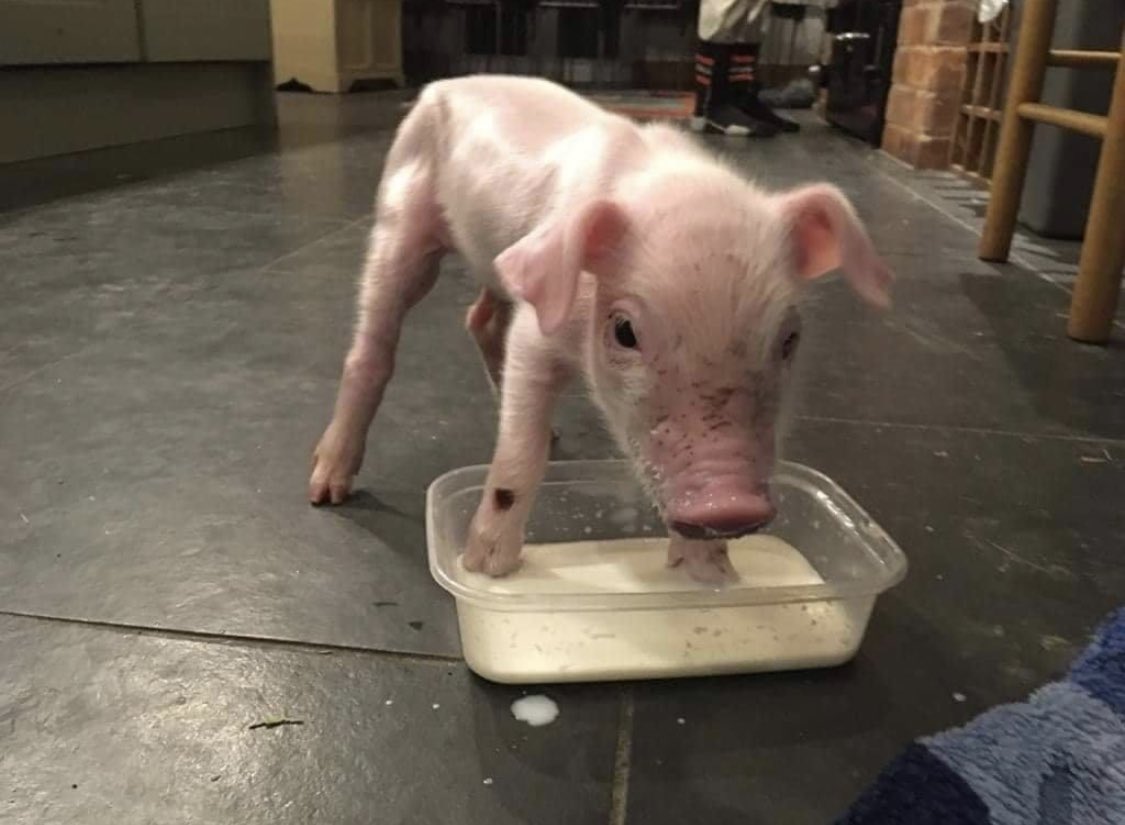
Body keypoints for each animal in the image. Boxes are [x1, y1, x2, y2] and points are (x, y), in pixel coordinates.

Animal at [308, 75, 892, 584]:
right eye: (625, 331)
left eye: (790, 339)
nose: (729, 505)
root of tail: (441, 85)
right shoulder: (538, 332)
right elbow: (520, 453)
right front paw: (487, 567)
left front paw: (713, 577)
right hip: (400, 218)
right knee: (374, 345)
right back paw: (326, 489)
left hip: (499, 262)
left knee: (480, 319)